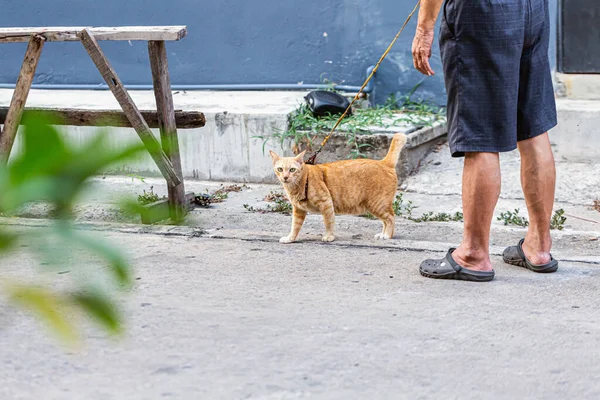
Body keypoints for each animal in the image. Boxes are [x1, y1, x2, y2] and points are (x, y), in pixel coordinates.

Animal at [270, 133, 408, 242]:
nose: (285, 177)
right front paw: (290, 238)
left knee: (390, 218)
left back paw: (387, 235)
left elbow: (328, 222)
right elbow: (295, 226)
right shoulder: (298, 210)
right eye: (280, 169)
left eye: (292, 170)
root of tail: (383, 162)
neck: (301, 183)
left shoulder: (326, 203)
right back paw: (383, 234)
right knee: (386, 220)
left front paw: (329, 236)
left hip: (378, 205)